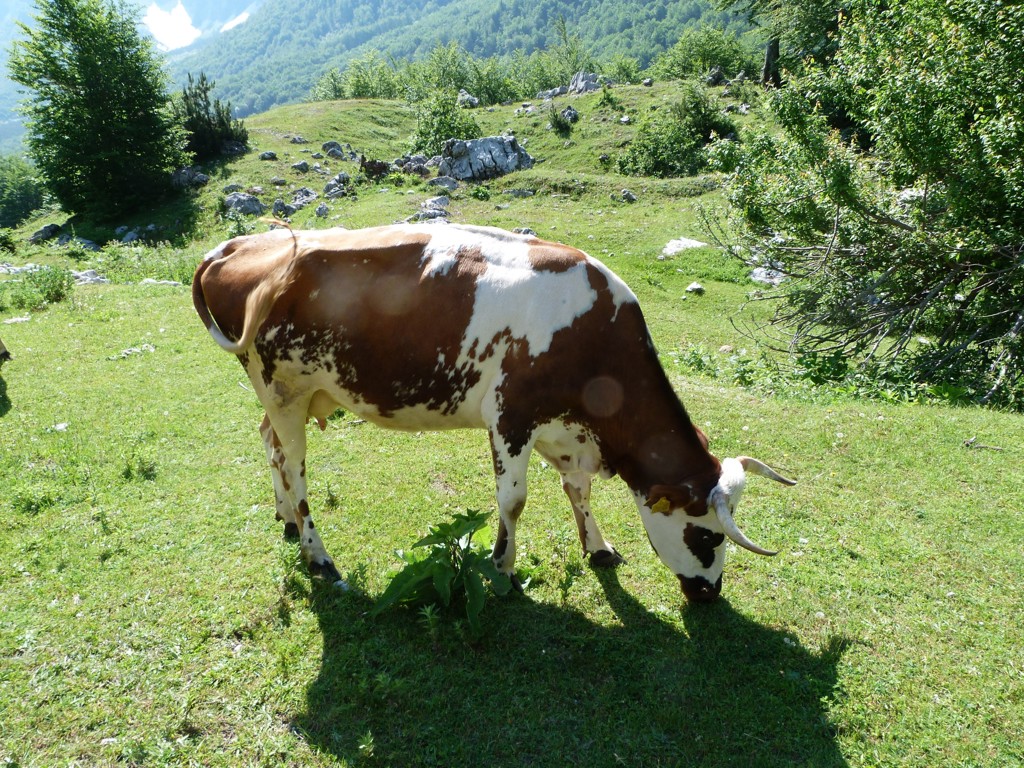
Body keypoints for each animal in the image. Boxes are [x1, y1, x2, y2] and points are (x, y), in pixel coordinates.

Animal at [192, 223, 795, 602]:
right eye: (707, 537)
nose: (711, 595)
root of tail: (237, 245)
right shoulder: (511, 417)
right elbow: (514, 500)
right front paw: (502, 568)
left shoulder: (563, 430)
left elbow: (578, 490)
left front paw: (597, 547)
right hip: (283, 390)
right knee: (294, 468)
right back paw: (317, 554)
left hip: (286, 396)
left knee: (269, 442)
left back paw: (285, 520)